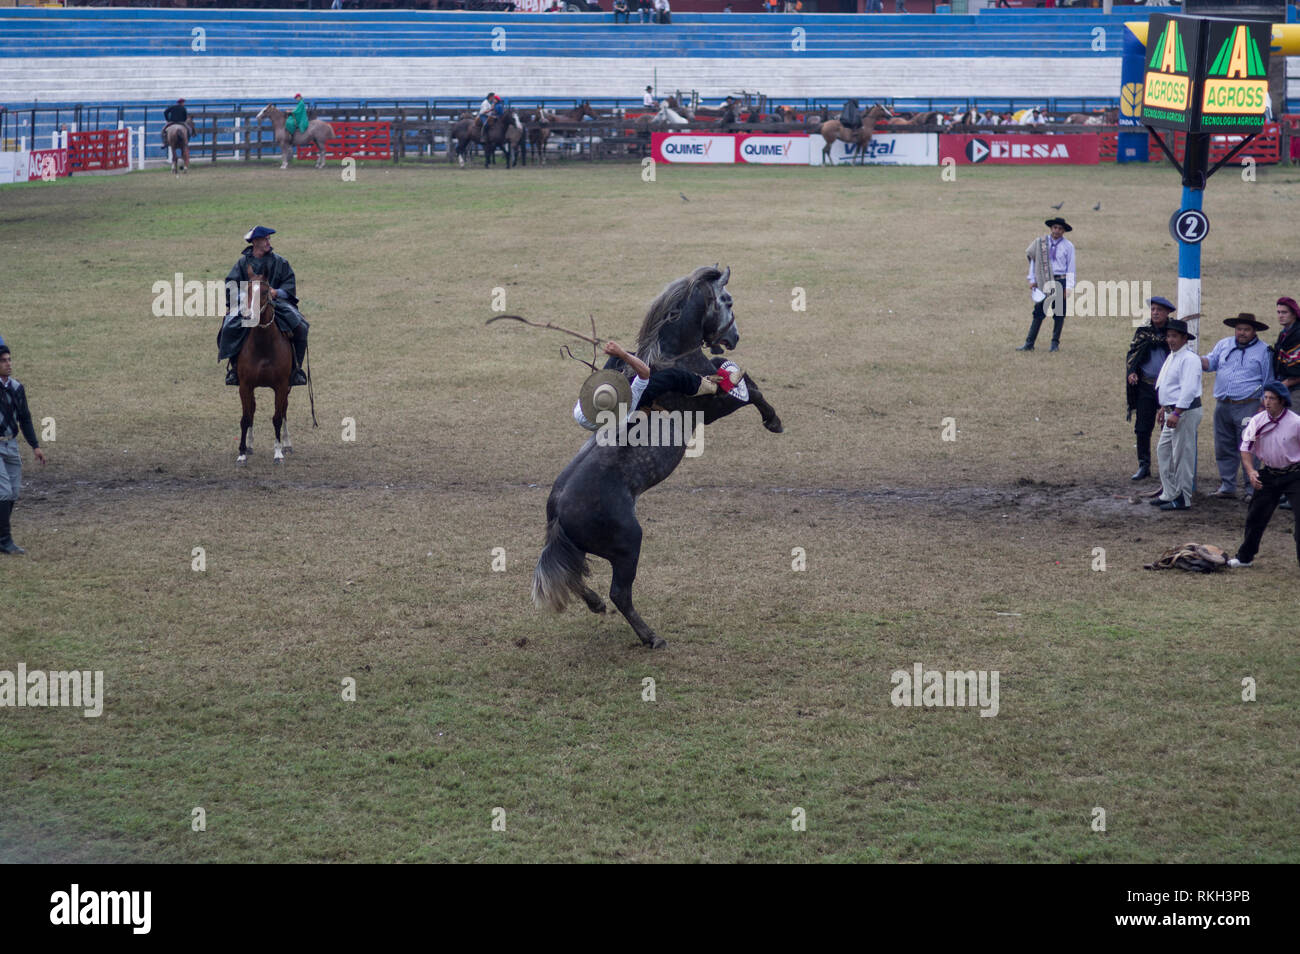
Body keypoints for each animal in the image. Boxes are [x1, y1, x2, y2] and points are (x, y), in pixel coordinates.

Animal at [530, 270, 780, 657]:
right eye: (728, 301)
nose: (734, 337)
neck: (672, 357)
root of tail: (558, 512)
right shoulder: (713, 407)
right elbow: (750, 391)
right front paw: (773, 420)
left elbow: (744, 381)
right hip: (628, 544)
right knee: (620, 593)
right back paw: (650, 636)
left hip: (580, 547)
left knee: (576, 573)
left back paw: (595, 603)